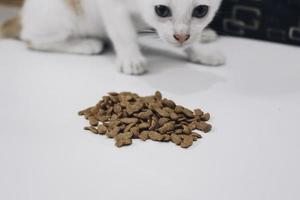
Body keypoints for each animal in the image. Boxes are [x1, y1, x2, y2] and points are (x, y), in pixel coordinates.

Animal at [0, 0, 225, 74]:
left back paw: (207, 35)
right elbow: (123, 32)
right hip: (59, 16)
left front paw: (200, 51)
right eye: (161, 10)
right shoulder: (111, 5)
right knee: (33, 40)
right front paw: (131, 58)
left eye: (201, 11)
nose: (181, 36)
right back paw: (86, 44)